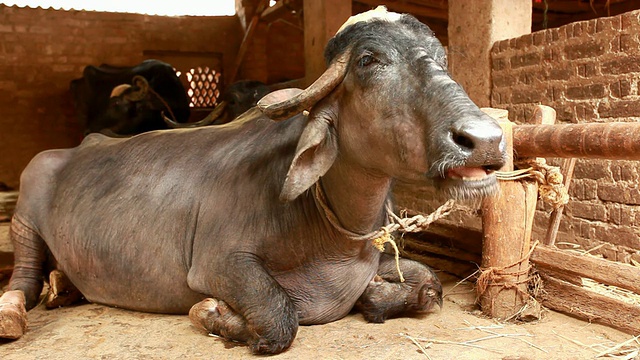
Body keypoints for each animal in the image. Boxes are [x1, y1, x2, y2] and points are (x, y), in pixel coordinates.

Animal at [0, 5, 504, 354]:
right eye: (368, 60)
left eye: (441, 57)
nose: (485, 141)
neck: (329, 232)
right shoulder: (220, 264)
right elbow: (280, 317)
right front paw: (213, 313)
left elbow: (429, 286)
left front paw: (376, 296)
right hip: (25, 217)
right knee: (22, 280)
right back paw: (18, 310)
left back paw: (63, 286)